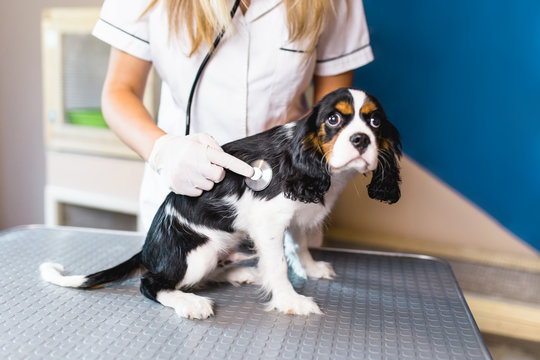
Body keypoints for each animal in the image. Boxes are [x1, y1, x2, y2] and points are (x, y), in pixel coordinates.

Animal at [40, 87, 398, 318]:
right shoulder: (269, 222)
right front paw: (290, 300)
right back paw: (189, 302)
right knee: (152, 283)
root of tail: (148, 250)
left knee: (210, 274)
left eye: (375, 123)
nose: (361, 140)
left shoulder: (296, 213)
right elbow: (279, 264)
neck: (317, 166)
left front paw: (309, 267)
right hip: (197, 253)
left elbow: (299, 243)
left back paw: (242, 273)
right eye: (334, 120)